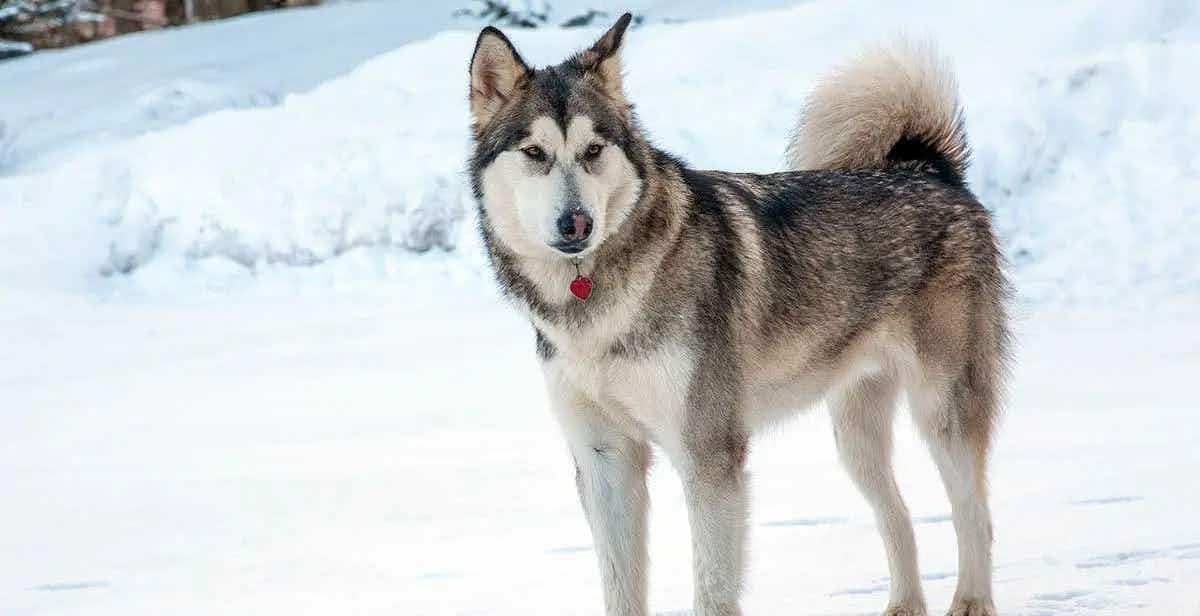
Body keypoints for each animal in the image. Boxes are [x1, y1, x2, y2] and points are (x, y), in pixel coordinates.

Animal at [463, 14, 1008, 614]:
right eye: (535, 152)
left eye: (593, 150)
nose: (576, 223)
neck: (595, 307)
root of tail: (929, 170)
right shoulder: (606, 458)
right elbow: (621, 589)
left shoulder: (710, 457)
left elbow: (712, 590)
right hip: (854, 435)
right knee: (898, 515)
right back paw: (905, 604)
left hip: (941, 411)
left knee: (975, 515)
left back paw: (972, 601)